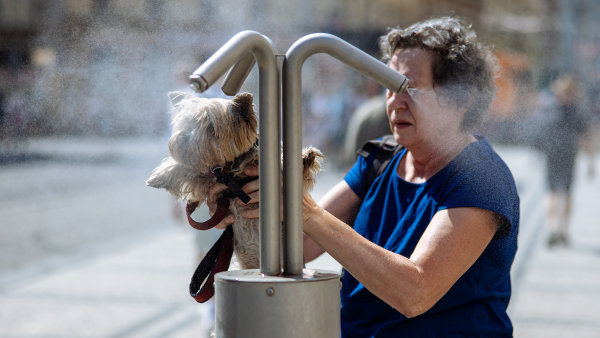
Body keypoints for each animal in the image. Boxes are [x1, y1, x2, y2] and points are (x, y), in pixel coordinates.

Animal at [146, 92, 324, 270]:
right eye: (187, 122)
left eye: (210, 128)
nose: (182, 140)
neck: (233, 166)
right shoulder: (211, 178)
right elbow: (189, 170)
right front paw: (158, 177)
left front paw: (304, 159)